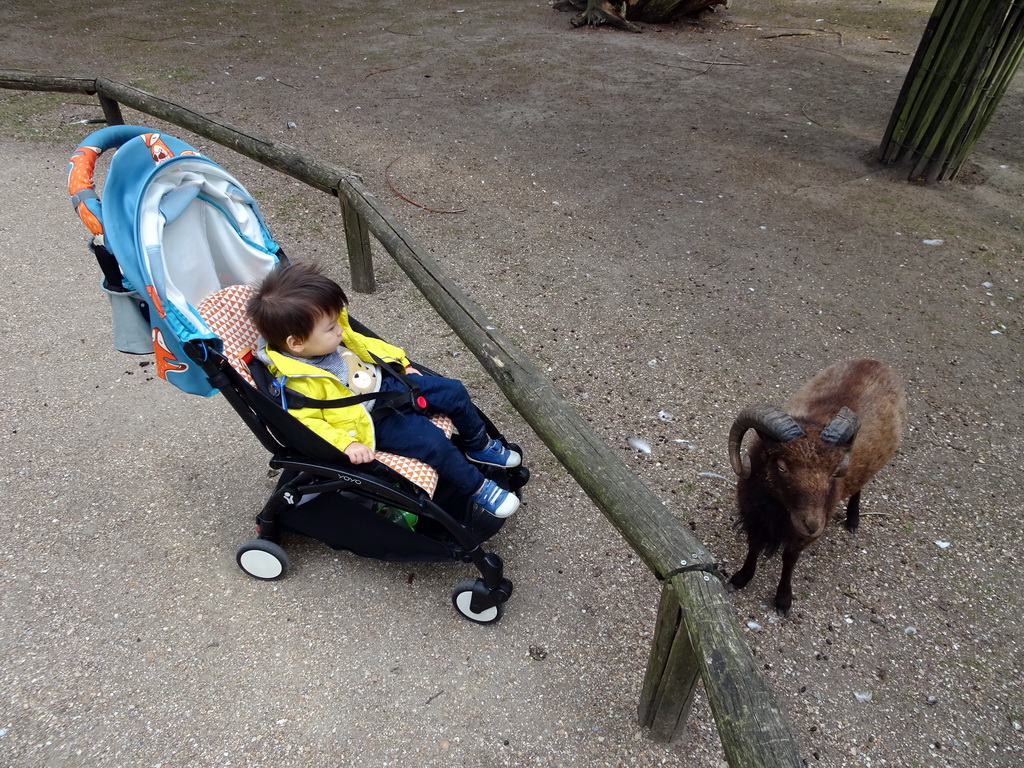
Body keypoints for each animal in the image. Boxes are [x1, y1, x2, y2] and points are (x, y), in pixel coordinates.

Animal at [729, 360, 905, 618]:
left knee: (859, 487)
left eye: (834, 471)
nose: (812, 525)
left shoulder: (803, 534)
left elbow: (790, 558)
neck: (778, 509)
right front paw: (740, 578)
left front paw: (783, 600)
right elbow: (753, 546)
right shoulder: (753, 516)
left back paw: (853, 521)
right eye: (781, 466)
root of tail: (875, 362)